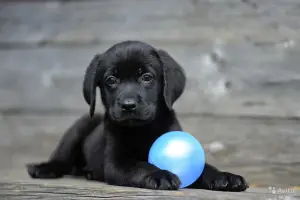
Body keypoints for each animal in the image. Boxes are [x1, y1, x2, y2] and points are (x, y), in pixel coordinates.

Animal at [27, 39, 248, 191]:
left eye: (147, 77)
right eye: (111, 79)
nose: (128, 105)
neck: (143, 129)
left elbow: (203, 167)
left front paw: (225, 177)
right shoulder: (117, 164)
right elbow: (142, 166)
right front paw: (160, 175)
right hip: (80, 126)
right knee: (62, 157)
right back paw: (44, 168)